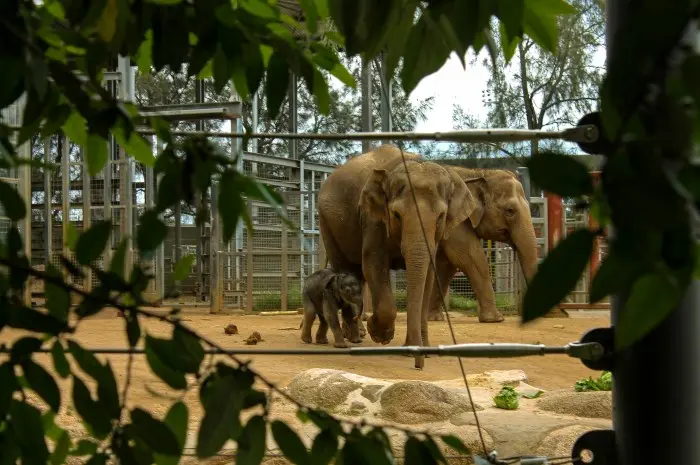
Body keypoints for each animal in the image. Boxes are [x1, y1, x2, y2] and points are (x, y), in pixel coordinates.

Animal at [318, 142, 478, 366]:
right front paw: (380, 334)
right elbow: (373, 263)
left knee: (356, 275)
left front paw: (419, 350)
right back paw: (355, 336)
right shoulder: (372, 218)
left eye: (441, 216)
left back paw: (357, 334)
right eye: (396, 215)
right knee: (345, 268)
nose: (419, 365)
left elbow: (428, 275)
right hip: (327, 223)